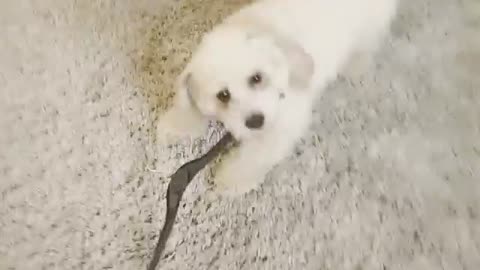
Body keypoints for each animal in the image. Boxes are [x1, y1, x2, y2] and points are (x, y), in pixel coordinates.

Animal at [158, 0, 398, 195]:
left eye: (257, 78)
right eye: (223, 95)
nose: (255, 121)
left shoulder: (286, 119)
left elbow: (259, 153)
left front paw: (235, 176)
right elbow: (189, 104)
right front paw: (179, 124)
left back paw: (355, 66)